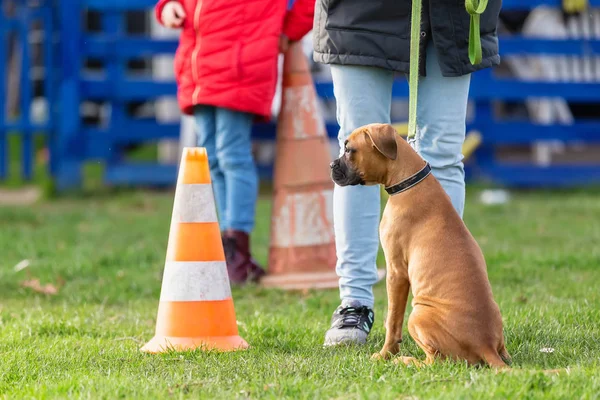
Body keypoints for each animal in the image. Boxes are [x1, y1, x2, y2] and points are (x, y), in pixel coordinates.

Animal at [330, 122, 508, 368]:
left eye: (349, 150)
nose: (331, 165)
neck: (408, 181)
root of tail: (486, 345)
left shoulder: (396, 273)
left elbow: (392, 321)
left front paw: (385, 355)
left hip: (417, 315)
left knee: (436, 361)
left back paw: (406, 360)